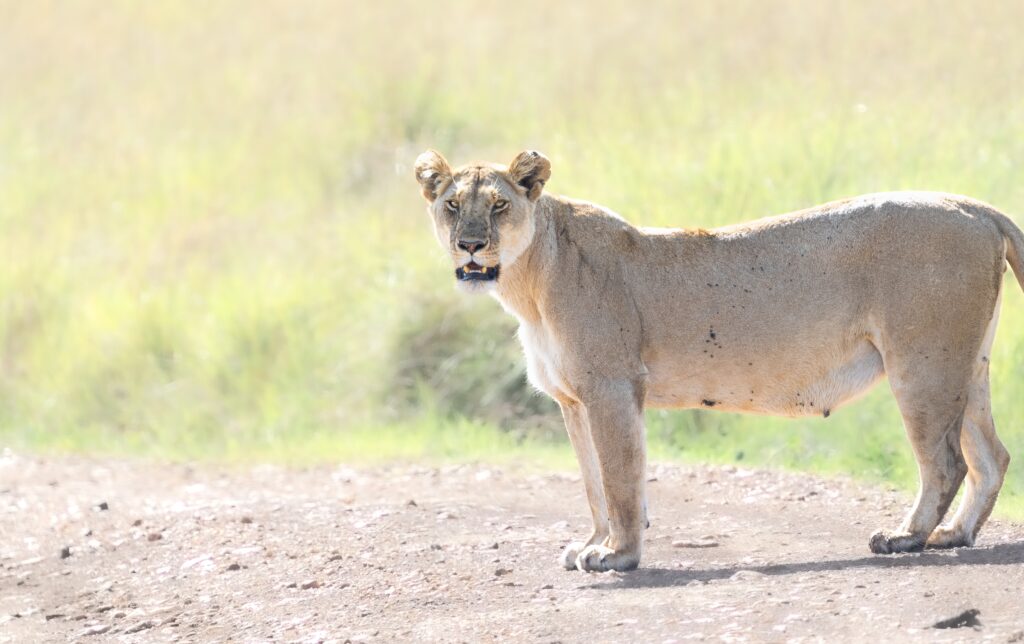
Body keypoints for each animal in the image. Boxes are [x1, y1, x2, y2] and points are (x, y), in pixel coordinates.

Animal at [414, 149, 1023, 572]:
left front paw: (618, 555)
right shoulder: (572, 399)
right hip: (965, 365)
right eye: (452, 205)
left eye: (498, 205)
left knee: (946, 462)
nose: (471, 245)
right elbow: (592, 484)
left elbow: (619, 477)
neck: (527, 283)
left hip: (923, 365)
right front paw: (592, 542)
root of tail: (975, 207)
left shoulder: (611, 386)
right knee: (991, 456)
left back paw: (905, 537)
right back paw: (953, 535)